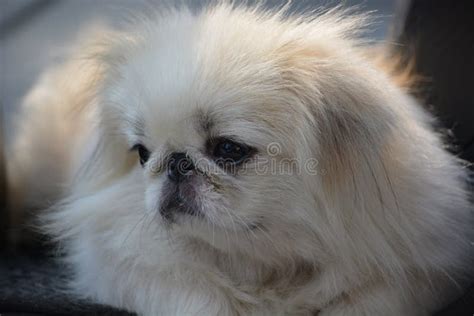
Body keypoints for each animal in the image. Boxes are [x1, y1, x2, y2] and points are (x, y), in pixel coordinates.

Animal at [7, 3, 474, 316]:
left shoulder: (422, 270)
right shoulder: (127, 267)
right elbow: (195, 296)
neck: (264, 265)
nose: (176, 162)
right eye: (142, 154)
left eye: (228, 150)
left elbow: (367, 301)